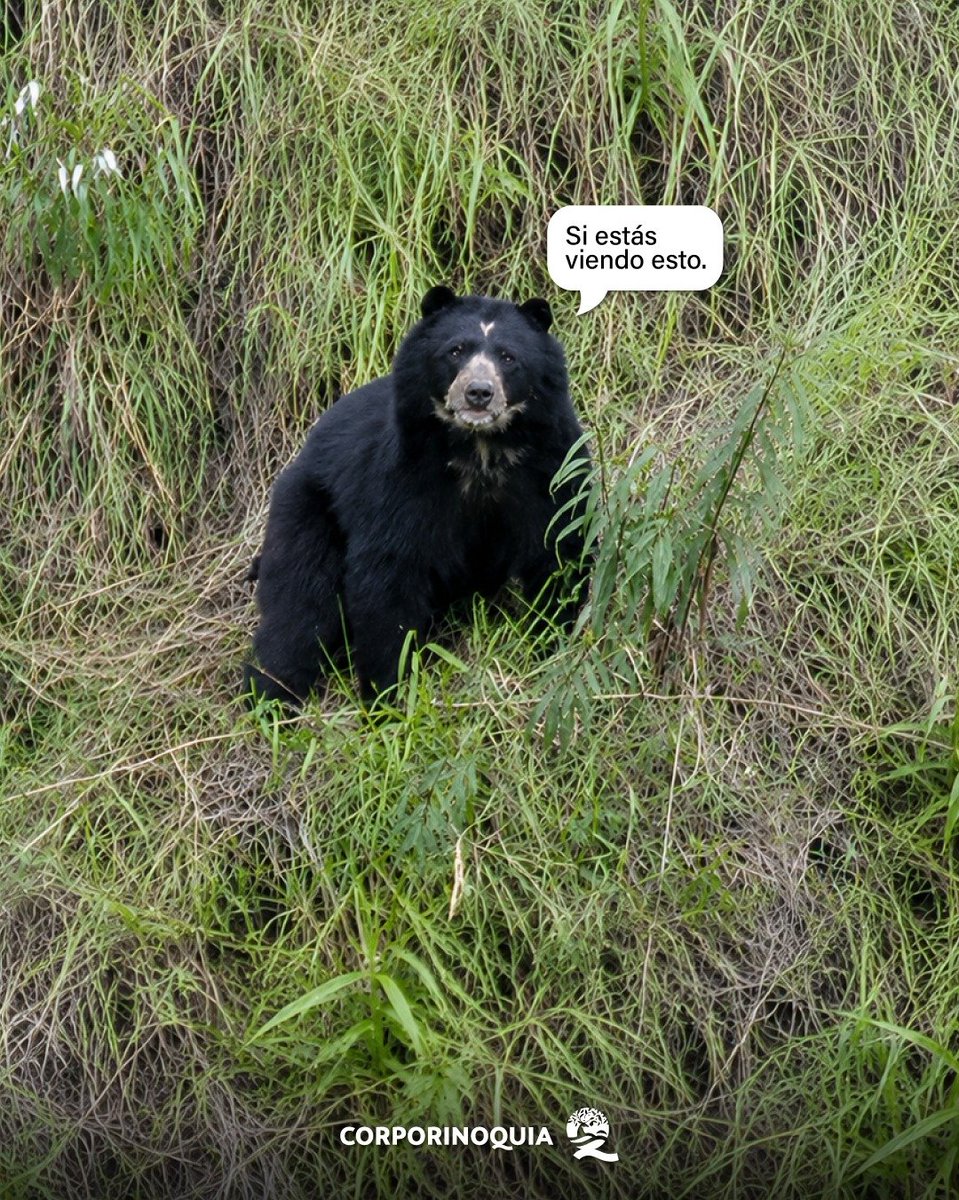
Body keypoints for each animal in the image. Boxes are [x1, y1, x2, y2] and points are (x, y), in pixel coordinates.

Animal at [243, 285, 591, 706]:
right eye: (456, 350)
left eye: (509, 357)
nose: (478, 394)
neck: (481, 450)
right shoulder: (401, 477)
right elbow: (389, 573)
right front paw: (388, 692)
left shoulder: (549, 467)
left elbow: (557, 547)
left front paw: (550, 643)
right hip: (309, 510)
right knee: (299, 602)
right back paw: (270, 694)